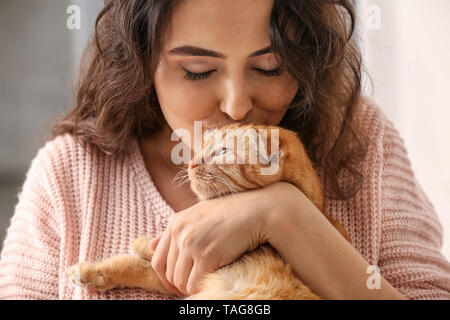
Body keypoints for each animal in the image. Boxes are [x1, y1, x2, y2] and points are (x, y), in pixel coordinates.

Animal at [67, 123, 350, 300]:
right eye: (204, 148)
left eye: (222, 151)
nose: (191, 163)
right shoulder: (183, 279)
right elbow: (136, 267)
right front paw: (90, 272)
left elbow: (153, 255)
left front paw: (145, 243)